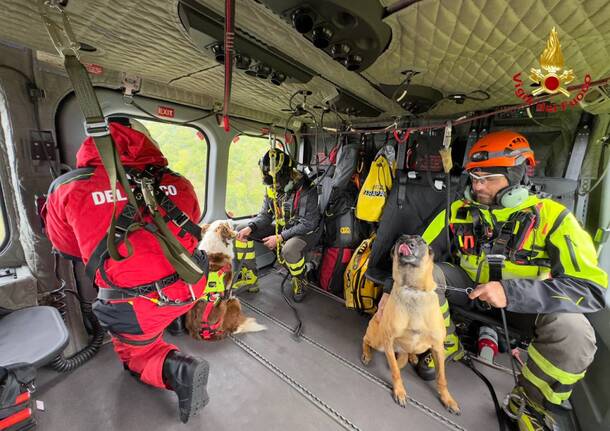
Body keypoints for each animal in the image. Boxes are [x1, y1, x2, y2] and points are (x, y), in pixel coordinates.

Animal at [360, 236, 456, 416]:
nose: (407, 241)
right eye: (399, 239)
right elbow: (395, 371)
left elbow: (442, 378)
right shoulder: (388, 340)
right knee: (366, 340)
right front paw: (400, 392)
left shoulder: (438, 348)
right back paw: (367, 355)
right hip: (378, 340)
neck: (413, 289)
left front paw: (448, 399)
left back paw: (412, 357)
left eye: (423, 241)